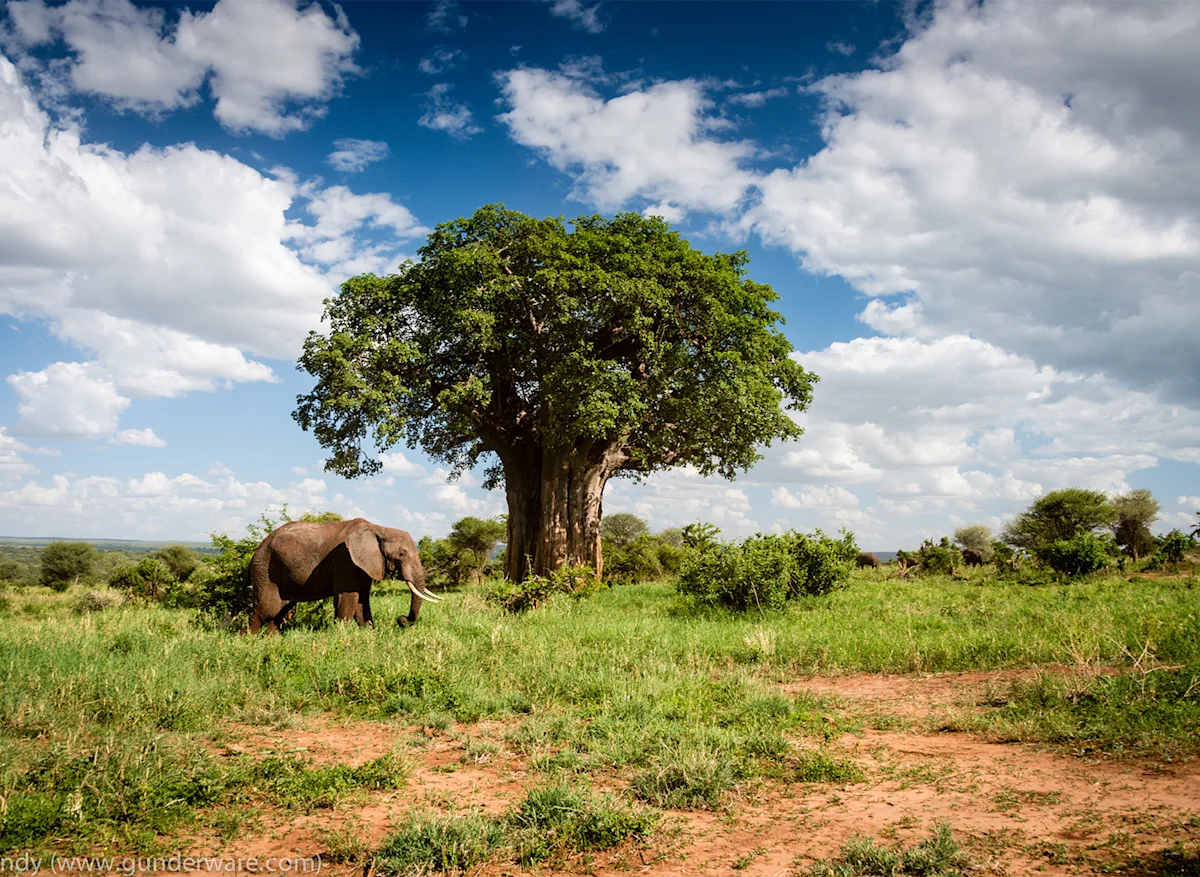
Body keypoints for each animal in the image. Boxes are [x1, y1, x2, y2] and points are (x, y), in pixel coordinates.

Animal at [249, 518, 440, 634]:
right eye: (402, 554)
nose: (401, 619)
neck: (379, 528)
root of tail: (260, 545)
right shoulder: (345, 559)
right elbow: (349, 597)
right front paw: (342, 636)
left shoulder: (363, 564)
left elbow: (362, 600)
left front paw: (369, 633)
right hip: (265, 570)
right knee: (266, 610)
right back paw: (250, 642)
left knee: (280, 611)